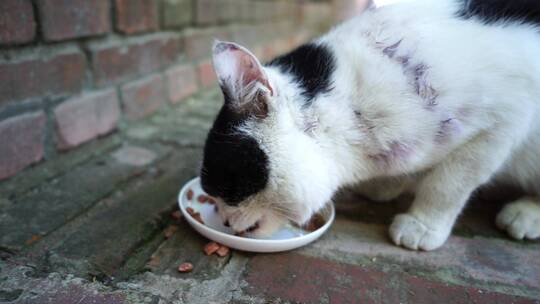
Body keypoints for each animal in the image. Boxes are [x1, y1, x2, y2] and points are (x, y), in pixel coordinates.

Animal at [199, 0, 540, 251]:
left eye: (229, 186)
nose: (224, 222)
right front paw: (386, 187)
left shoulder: (503, 121)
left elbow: (448, 185)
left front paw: (422, 225)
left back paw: (525, 215)